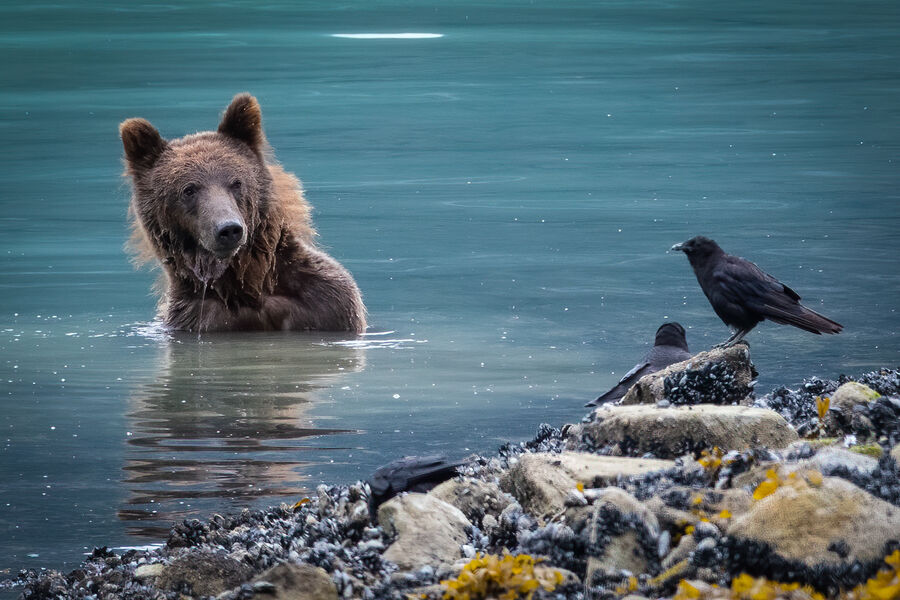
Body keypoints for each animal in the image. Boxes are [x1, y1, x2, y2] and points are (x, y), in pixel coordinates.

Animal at [118, 96, 366, 336]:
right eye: (188, 190)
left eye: (236, 182)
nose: (228, 228)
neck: (249, 285)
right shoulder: (196, 317)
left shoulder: (328, 303)